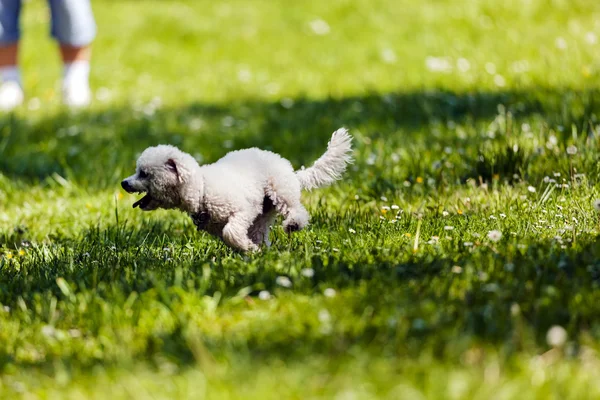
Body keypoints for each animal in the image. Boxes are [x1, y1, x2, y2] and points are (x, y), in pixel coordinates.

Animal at [120, 128, 352, 252]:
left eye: (143, 173)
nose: (123, 183)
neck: (202, 189)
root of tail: (291, 171)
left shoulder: (244, 211)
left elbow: (230, 232)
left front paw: (248, 249)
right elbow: (233, 238)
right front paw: (249, 250)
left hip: (279, 191)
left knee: (296, 210)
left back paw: (293, 224)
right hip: (264, 214)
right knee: (261, 232)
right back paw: (263, 251)